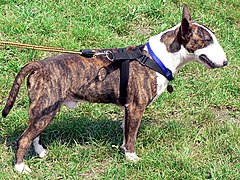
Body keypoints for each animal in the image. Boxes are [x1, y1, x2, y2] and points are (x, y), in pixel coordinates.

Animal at [1, 4, 227, 173]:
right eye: (207, 40)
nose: (225, 62)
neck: (158, 58)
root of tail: (39, 64)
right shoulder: (136, 107)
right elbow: (133, 135)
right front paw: (132, 157)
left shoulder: (129, 108)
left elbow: (127, 131)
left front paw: (124, 150)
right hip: (45, 110)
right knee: (23, 139)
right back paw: (21, 167)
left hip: (43, 111)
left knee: (33, 134)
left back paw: (40, 152)